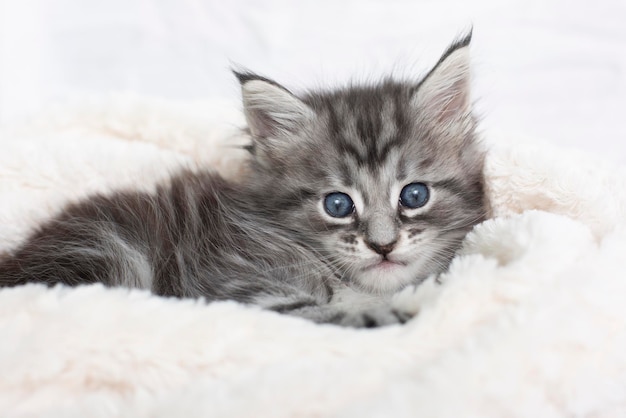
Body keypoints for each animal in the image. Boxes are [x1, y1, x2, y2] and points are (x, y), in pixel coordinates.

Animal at [0, 32, 486, 326]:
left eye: (414, 195)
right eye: (337, 205)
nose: (382, 245)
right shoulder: (235, 287)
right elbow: (326, 311)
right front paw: (392, 312)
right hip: (109, 254)